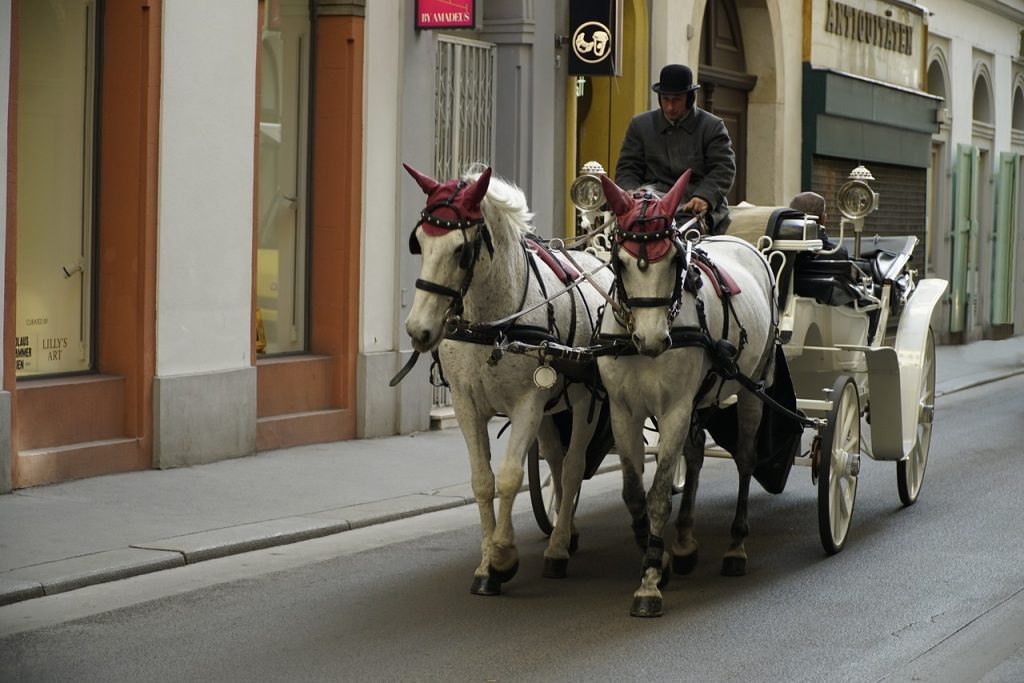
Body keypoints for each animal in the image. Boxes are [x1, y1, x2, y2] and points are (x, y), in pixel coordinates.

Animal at [399, 163, 610, 593]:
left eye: (461, 250)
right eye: (419, 243)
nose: (418, 330)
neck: (492, 325)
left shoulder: (528, 402)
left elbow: (512, 477)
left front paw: (502, 557)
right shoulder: (467, 404)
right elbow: (483, 480)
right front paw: (485, 565)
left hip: (585, 400)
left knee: (574, 465)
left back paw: (558, 548)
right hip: (552, 407)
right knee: (557, 460)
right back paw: (566, 529)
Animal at [598, 172, 770, 618]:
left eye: (675, 261)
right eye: (621, 262)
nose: (654, 339)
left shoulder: (675, 408)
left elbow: (659, 493)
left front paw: (649, 581)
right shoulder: (623, 410)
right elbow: (633, 491)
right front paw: (655, 554)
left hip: (754, 386)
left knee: (746, 458)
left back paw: (735, 547)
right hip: (701, 398)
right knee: (693, 457)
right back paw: (685, 542)